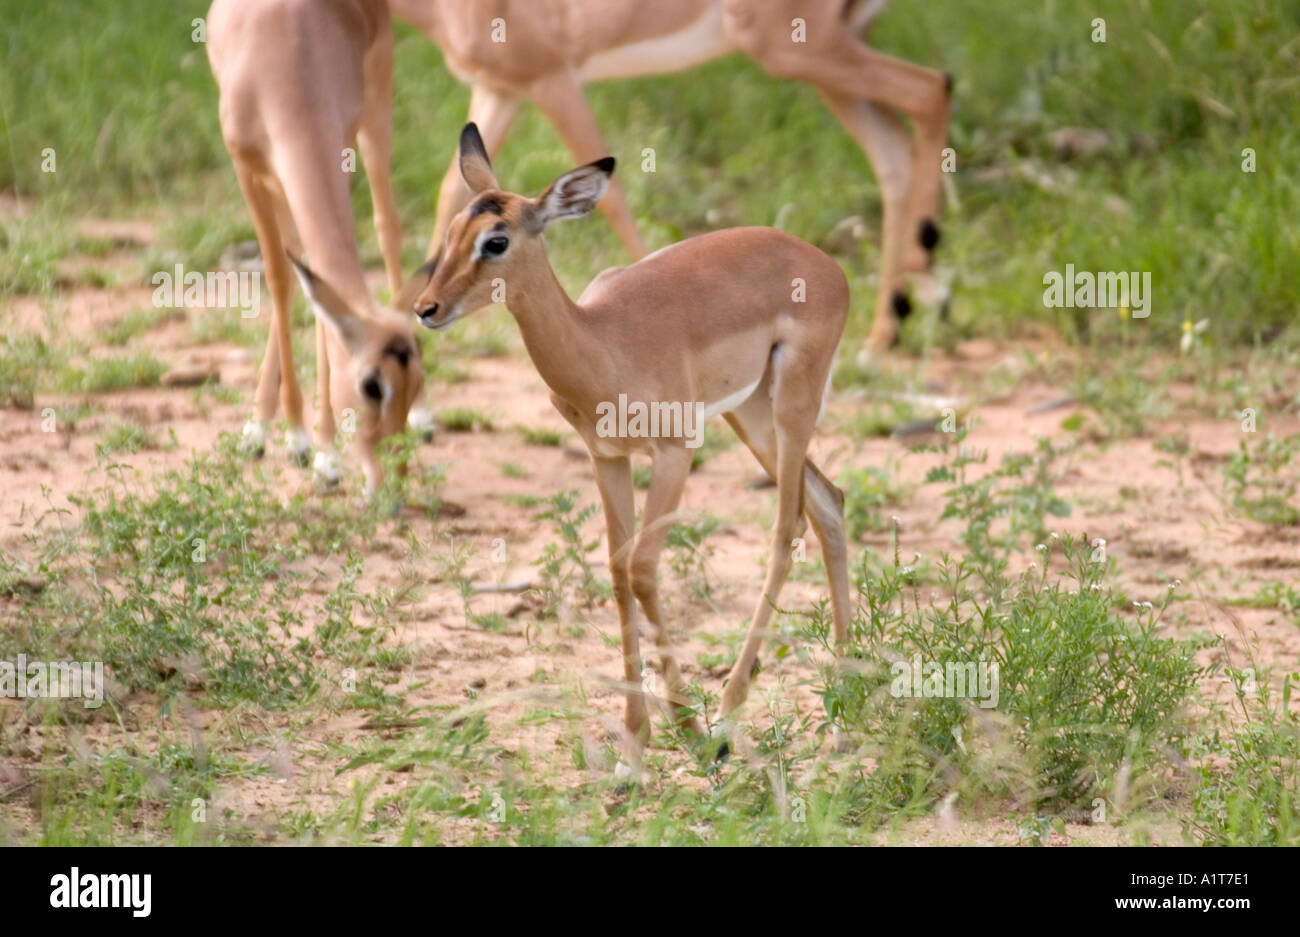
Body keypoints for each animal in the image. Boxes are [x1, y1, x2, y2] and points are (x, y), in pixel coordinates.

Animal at [207, 0, 432, 497]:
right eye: (372, 386)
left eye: (417, 376)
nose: (394, 482)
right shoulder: (246, 169)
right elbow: (280, 279)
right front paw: (298, 438)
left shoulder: (338, 150)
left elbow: (320, 290)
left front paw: (325, 454)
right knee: (295, 265)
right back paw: (258, 430)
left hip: (376, 110)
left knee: (387, 228)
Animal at [390, 0, 952, 359]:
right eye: (455, 239)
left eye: (497, 242)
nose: (427, 310)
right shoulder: (499, 91)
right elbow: (447, 193)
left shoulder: (552, 80)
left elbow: (613, 197)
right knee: (895, 153)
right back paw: (885, 331)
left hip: (798, 50)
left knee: (932, 88)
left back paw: (924, 280)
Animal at [412, 124, 852, 773]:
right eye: (450, 236)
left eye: (496, 241)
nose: (427, 309)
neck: (604, 343)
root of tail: (827, 267)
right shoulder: (608, 457)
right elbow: (619, 574)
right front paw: (631, 751)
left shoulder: (674, 452)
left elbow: (644, 570)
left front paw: (689, 728)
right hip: (750, 414)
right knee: (828, 504)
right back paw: (848, 707)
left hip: (789, 407)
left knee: (786, 527)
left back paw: (730, 718)